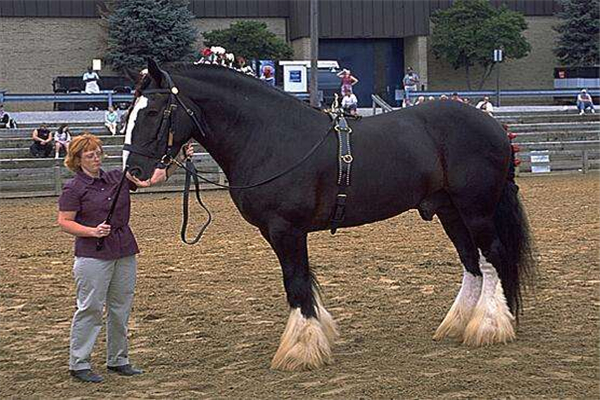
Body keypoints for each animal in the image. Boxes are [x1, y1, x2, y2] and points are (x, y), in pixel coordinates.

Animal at [122, 60, 536, 372]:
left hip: (476, 210)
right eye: (129, 112)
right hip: (451, 212)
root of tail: (494, 126)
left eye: (154, 112)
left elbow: (296, 283)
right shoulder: (284, 233)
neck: (271, 137)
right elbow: (304, 281)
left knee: (493, 257)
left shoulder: (286, 230)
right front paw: (316, 334)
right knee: (472, 263)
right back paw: (460, 324)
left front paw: (301, 350)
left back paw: (490, 326)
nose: (134, 173)